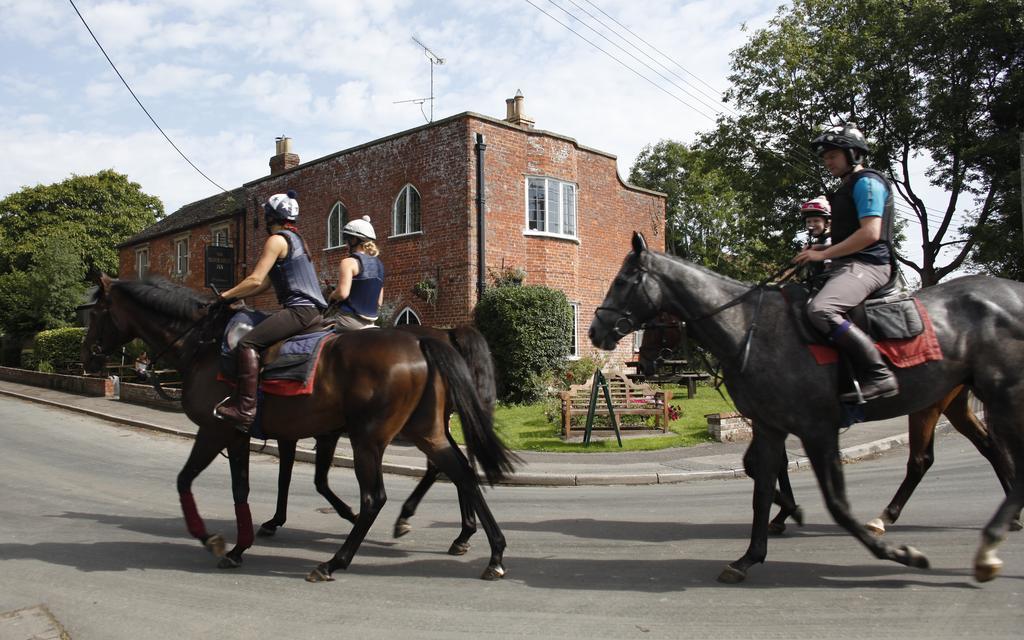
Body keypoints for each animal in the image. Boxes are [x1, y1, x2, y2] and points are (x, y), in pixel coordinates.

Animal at [80, 272, 516, 577]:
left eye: (98, 313)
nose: (88, 356)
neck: (204, 344)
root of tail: (426, 339)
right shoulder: (264, 434)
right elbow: (268, 483)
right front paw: (248, 539)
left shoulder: (217, 430)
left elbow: (190, 480)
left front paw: (216, 539)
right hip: (424, 429)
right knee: (459, 469)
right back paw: (485, 547)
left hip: (371, 438)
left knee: (380, 495)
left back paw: (340, 558)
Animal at [593, 233, 1024, 585]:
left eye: (623, 281)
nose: (597, 332)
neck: (750, 328)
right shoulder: (770, 425)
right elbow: (760, 483)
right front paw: (752, 553)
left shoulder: (817, 429)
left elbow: (833, 502)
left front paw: (897, 553)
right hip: (958, 402)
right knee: (983, 451)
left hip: (989, 401)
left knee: (952, 457)